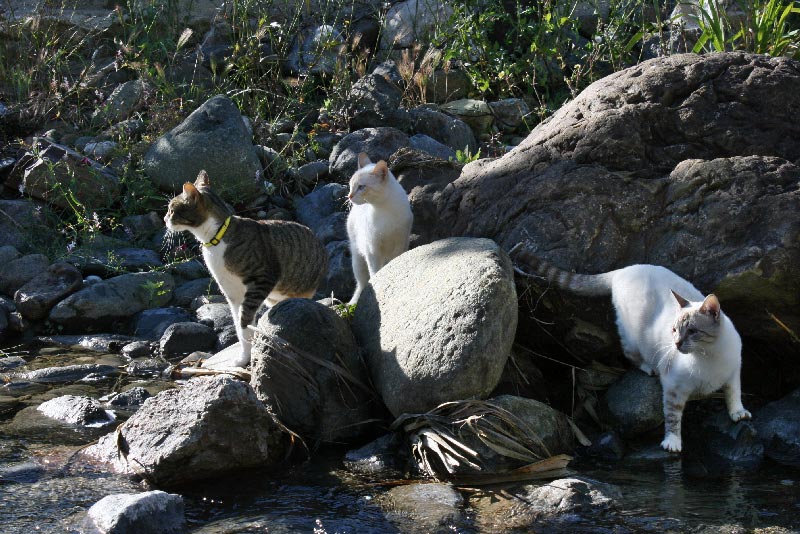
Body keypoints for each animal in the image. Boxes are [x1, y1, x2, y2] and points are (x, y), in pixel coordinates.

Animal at [164, 172, 326, 368]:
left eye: (172, 210)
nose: (164, 219)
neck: (217, 237)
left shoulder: (262, 279)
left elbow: (244, 322)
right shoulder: (232, 293)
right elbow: (238, 326)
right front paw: (244, 358)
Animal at [346, 154, 416, 306]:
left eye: (361, 187)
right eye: (351, 185)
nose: (349, 196)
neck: (383, 209)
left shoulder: (400, 243)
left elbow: (394, 262)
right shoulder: (372, 250)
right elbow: (375, 272)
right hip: (358, 260)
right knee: (361, 284)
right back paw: (354, 302)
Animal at [512, 245, 752, 454]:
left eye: (692, 331)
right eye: (674, 330)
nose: (676, 344)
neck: (708, 355)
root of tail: (625, 269)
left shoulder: (734, 372)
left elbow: (734, 393)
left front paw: (738, 413)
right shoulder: (674, 388)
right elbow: (673, 418)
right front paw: (672, 443)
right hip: (632, 337)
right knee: (630, 355)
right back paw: (648, 368)